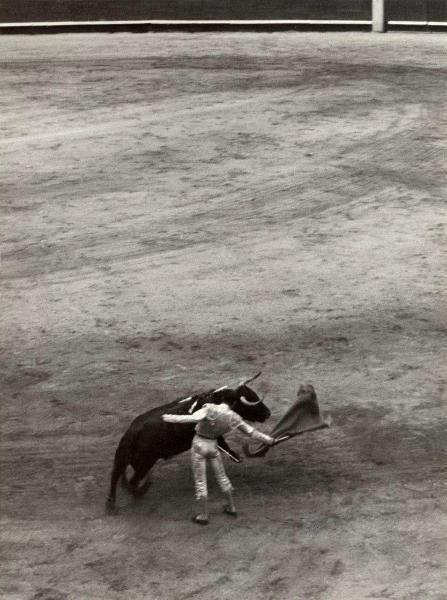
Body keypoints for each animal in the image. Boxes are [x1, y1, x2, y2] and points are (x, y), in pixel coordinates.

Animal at [107, 372, 272, 512]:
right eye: (250, 401)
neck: (216, 400)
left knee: (116, 476)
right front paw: (236, 457)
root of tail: (133, 432)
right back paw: (137, 493)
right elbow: (222, 442)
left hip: (123, 459)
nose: (268, 413)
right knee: (131, 481)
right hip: (144, 463)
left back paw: (112, 503)